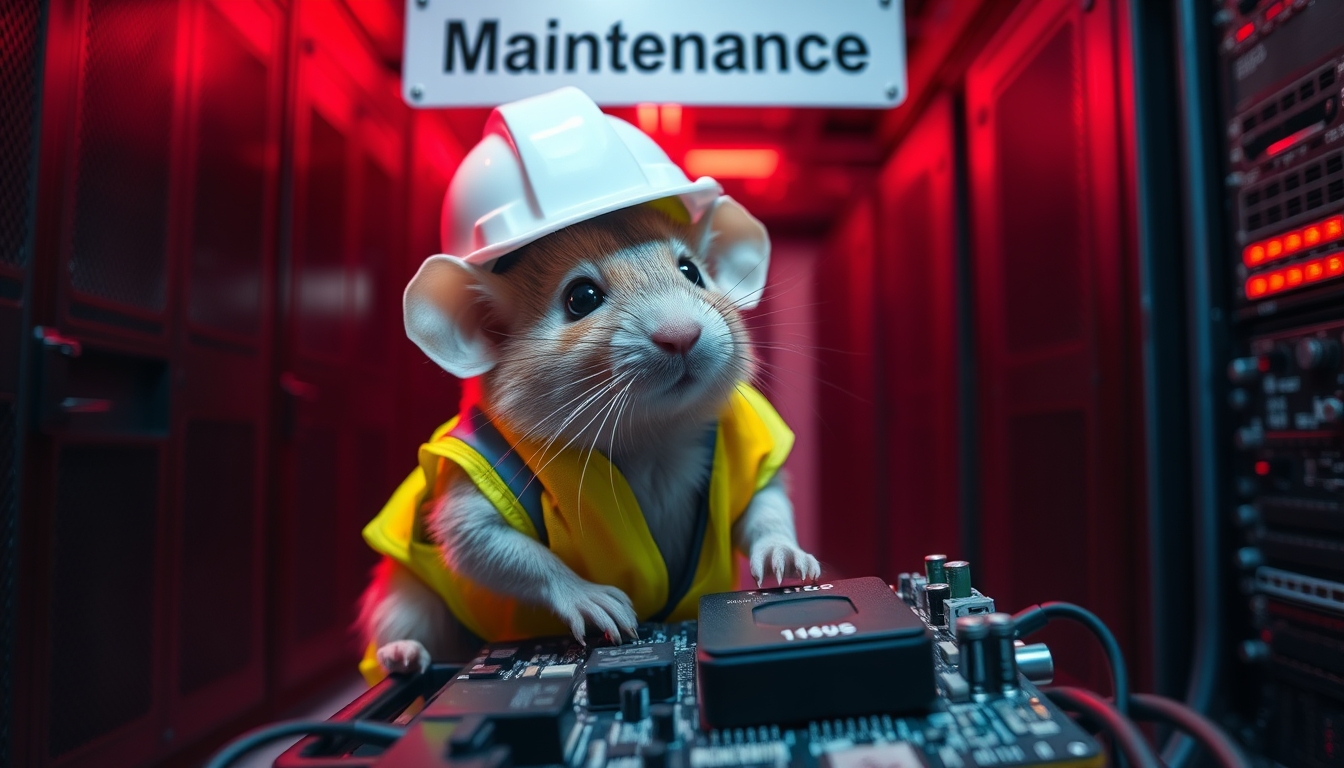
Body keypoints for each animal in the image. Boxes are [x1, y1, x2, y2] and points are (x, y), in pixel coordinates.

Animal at [357, 196, 817, 672]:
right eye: (581, 298)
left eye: (692, 271)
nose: (682, 335)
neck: (652, 435)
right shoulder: (478, 473)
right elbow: (481, 540)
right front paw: (588, 596)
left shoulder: (744, 453)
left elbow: (764, 502)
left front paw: (783, 555)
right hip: (403, 600)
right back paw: (402, 654)